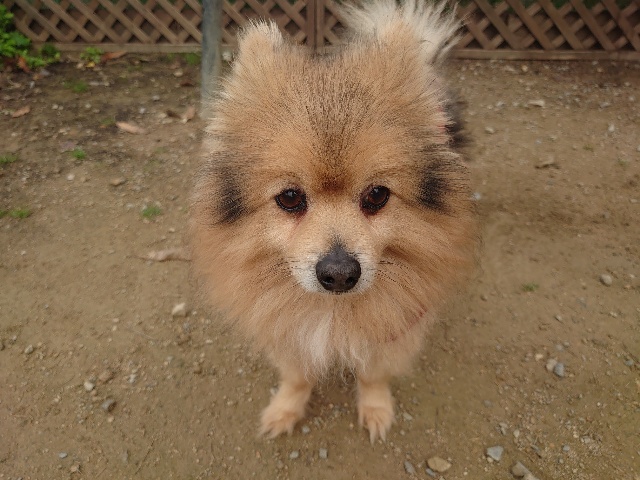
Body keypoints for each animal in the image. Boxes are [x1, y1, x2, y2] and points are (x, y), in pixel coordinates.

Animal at [191, 0, 477, 442]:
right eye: (290, 197)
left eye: (376, 195)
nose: (340, 273)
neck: (333, 314)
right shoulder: (287, 330)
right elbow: (296, 376)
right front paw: (285, 409)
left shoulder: (393, 326)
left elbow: (374, 375)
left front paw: (376, 409)